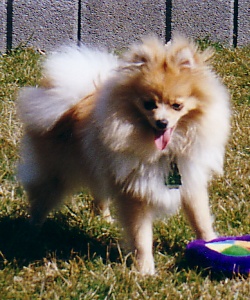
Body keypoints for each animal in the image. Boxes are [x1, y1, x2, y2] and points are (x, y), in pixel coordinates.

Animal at [16, 34, 229, 274]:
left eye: (177, 105)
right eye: (149, 104)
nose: (162, 122)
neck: (165, 152)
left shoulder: (190, 180)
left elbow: (200, 219)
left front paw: (212, 243)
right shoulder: (135, 192)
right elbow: (141, 237)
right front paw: (146, 270)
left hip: (98, 167)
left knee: (98, 193)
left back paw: (104, 219)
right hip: (55, 174)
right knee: (41, 200)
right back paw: (32, 232)